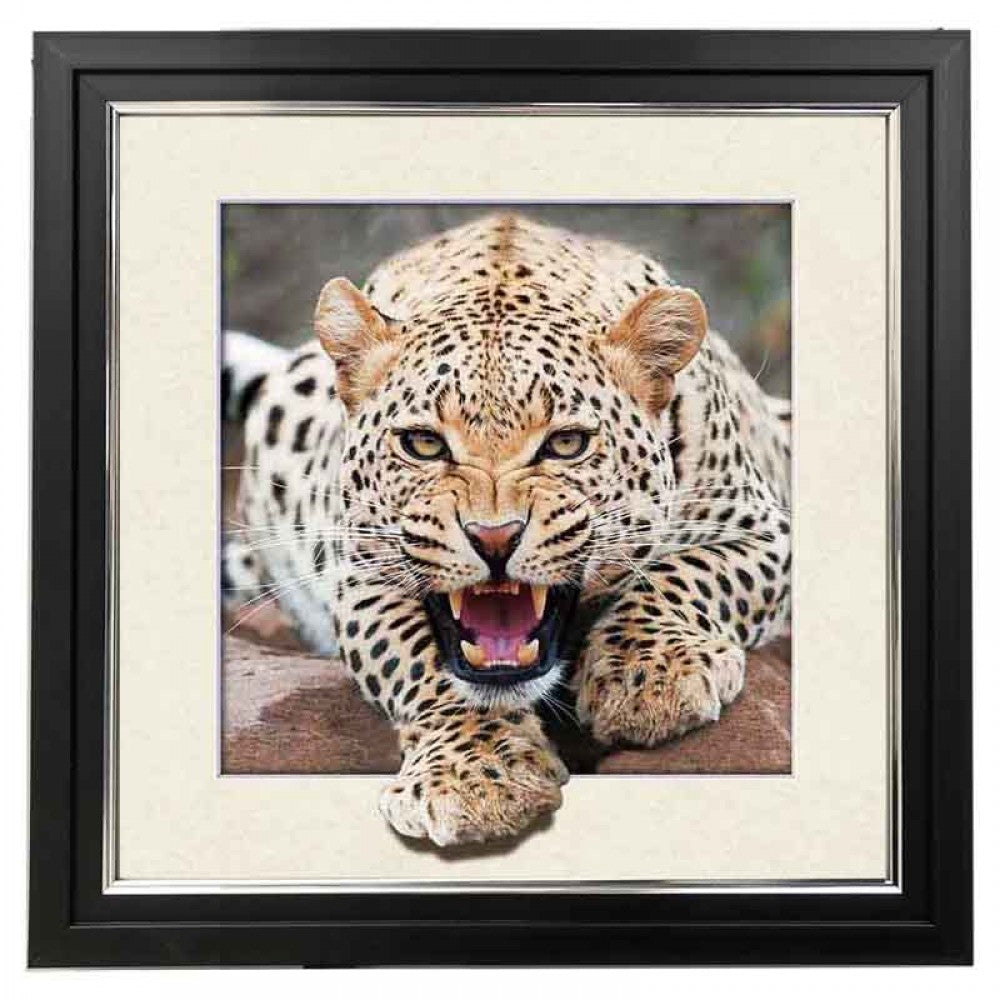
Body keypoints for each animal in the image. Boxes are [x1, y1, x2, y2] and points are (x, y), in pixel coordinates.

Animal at [222, 213, 791, 847]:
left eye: (566, 443)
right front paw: (475, 777)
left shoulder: (763, 529)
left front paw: (649, 679)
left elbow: (682, 575)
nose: (493, 538)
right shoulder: (364, 576)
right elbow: (423, 664)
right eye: (423, 444)